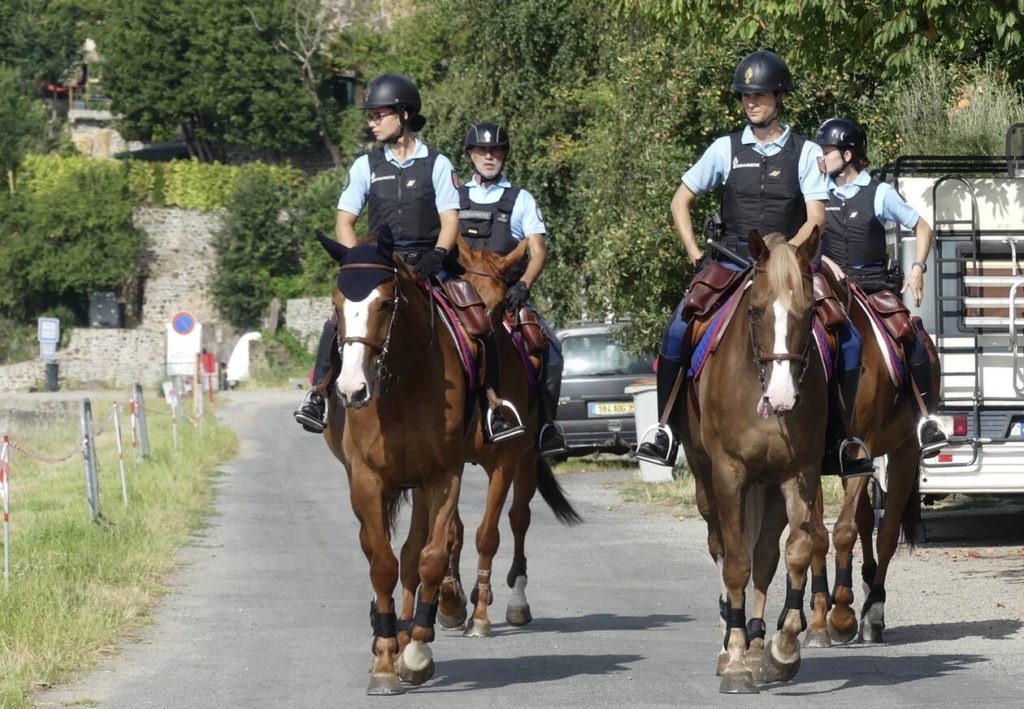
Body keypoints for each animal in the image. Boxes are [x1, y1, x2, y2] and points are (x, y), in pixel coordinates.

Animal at [317, 235, 468, 696]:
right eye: (335, 305)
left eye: (385, 303)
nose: (352, 389)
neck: (401, 385)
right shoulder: (367, 480)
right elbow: (381, 564)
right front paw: (384, 662)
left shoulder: (442, 476)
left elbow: (429, 558)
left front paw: (415, 652)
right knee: (380, 549)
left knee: (414, 553)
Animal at [438, 236, 585, 635]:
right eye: (460, 297)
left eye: (502, 303)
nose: (478, 340)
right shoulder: (448, 462)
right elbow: (452, 531)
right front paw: (451, 602)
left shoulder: (505, 462)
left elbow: (487, 535)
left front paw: (480, 616)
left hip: (526, 461)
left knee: (519, 519)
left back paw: (515, 601)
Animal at [679, 229, 831, 696]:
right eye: (756, 309)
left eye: (811, 310)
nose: (782, 398)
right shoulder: (728, 476)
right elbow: (734, 564)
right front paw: (734, 663)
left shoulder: (799, 474)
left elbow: (797, 551)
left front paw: (782, 650)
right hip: (707, 484)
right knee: (722, 548)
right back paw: (731, 642)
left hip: (769, 489)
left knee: (764, 554)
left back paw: (756, 641)